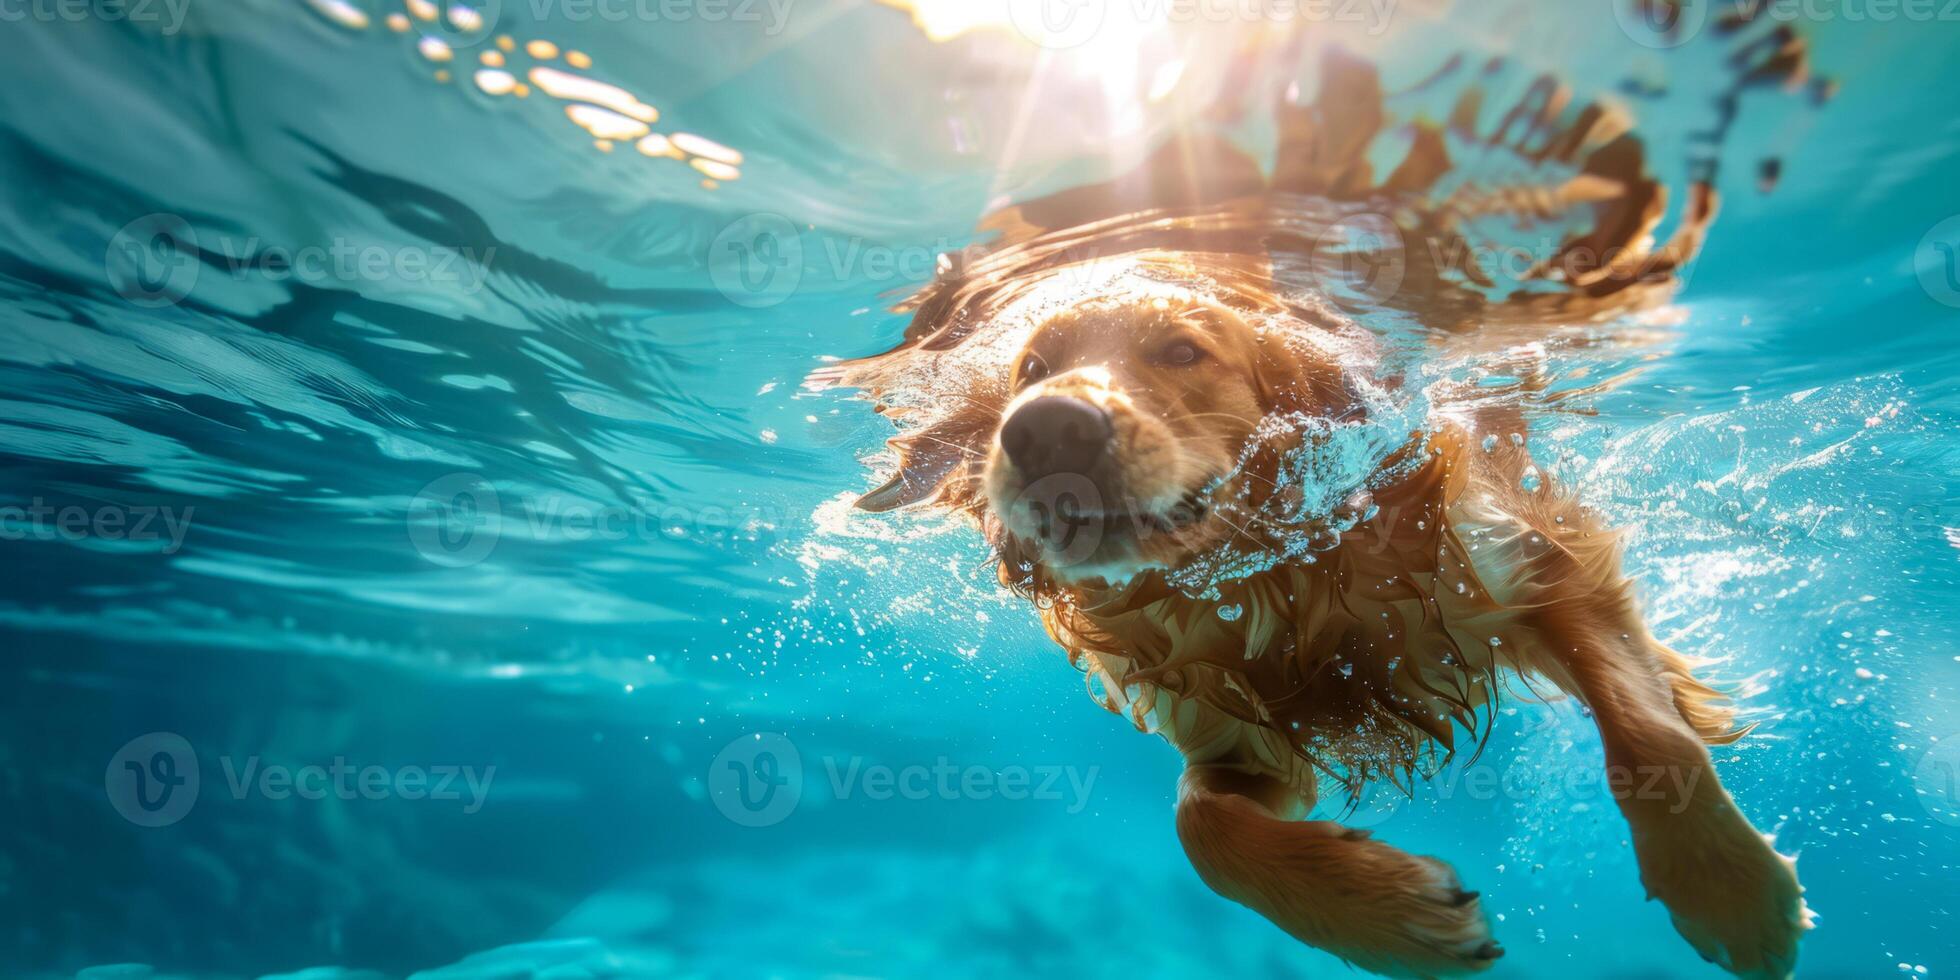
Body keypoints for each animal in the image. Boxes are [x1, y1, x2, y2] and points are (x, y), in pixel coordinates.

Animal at [811, 44, 1818, 980]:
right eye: (1029, 368)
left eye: (1183, 351)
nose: (1044, 428)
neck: (1283, 575)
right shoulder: (1231, 732)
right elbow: (1202, 830)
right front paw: (1396, 921)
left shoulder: (1531, 563)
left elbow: (1646, 732)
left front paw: (1730, 890)